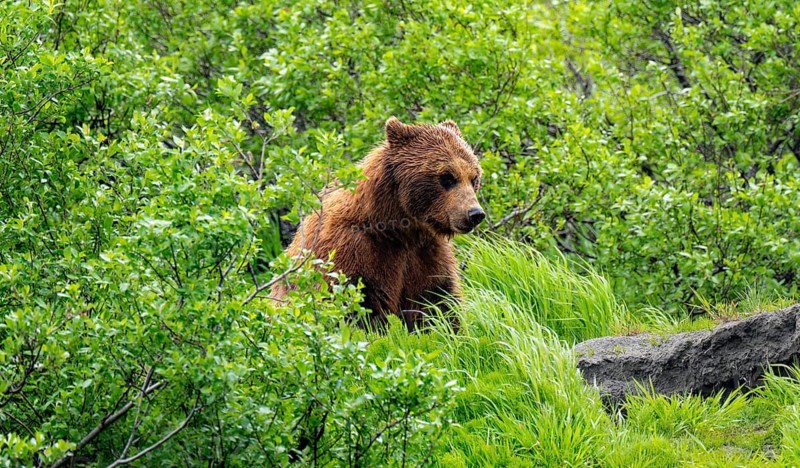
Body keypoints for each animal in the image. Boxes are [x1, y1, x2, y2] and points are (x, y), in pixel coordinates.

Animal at [271, 117, 485, 330]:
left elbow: (438, 300)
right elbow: (356, 305)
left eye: (474, 177)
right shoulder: (353, 250)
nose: (475, 213)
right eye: (447, 177)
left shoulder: (427, 254)